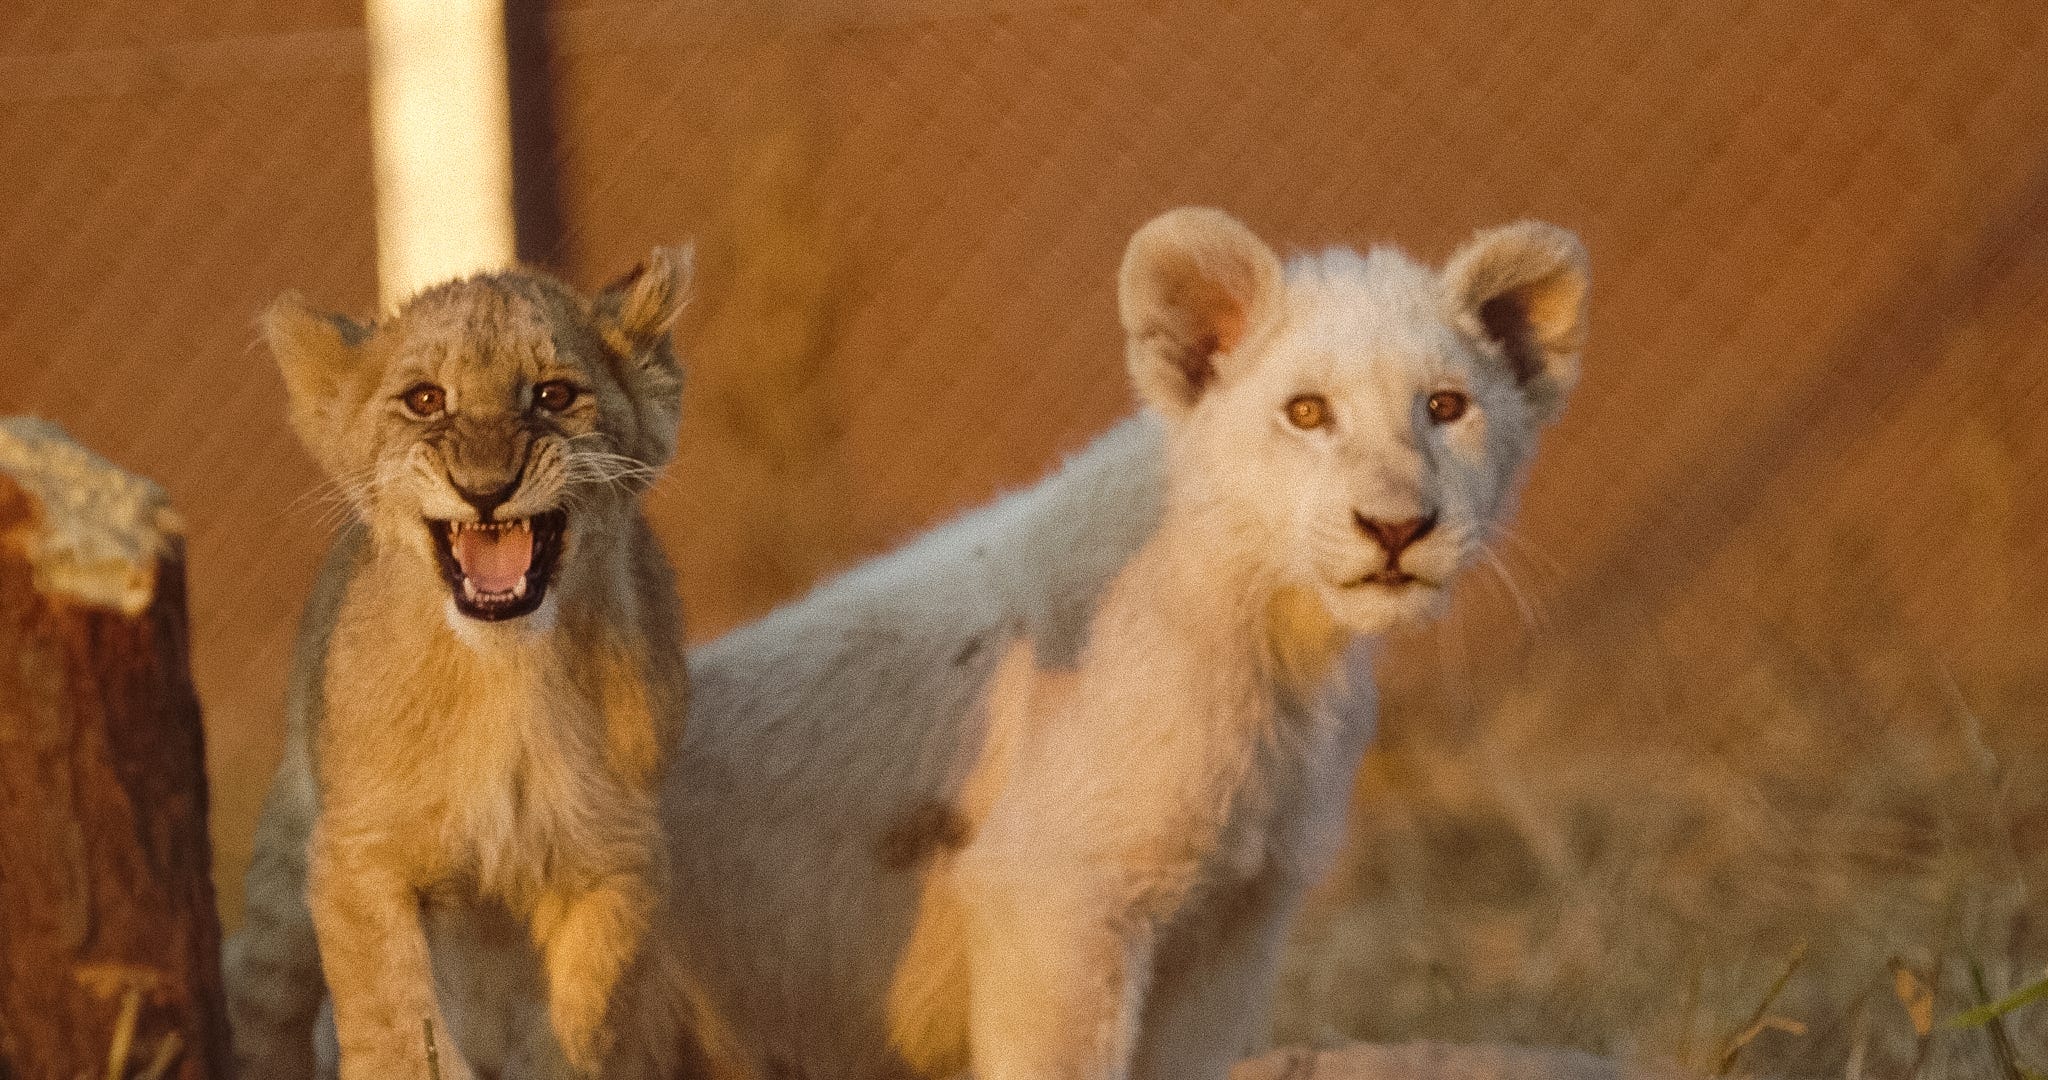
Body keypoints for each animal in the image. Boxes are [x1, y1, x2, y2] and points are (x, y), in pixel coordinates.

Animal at [222, 250, 698, 1080]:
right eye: (424, 399)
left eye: (554, 394)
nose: (486, 489)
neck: (502, 676)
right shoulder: (358, 855)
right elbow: (394, 1021)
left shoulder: (616, 863)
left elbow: (579, 1025)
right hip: (284, 884)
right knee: (263, 1005)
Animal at [665, 208, 1589, 1080]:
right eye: (1306, 412)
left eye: (1445, 406)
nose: (1396, 527)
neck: (1276, 649)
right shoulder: (1054, 899)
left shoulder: (1239, 913)